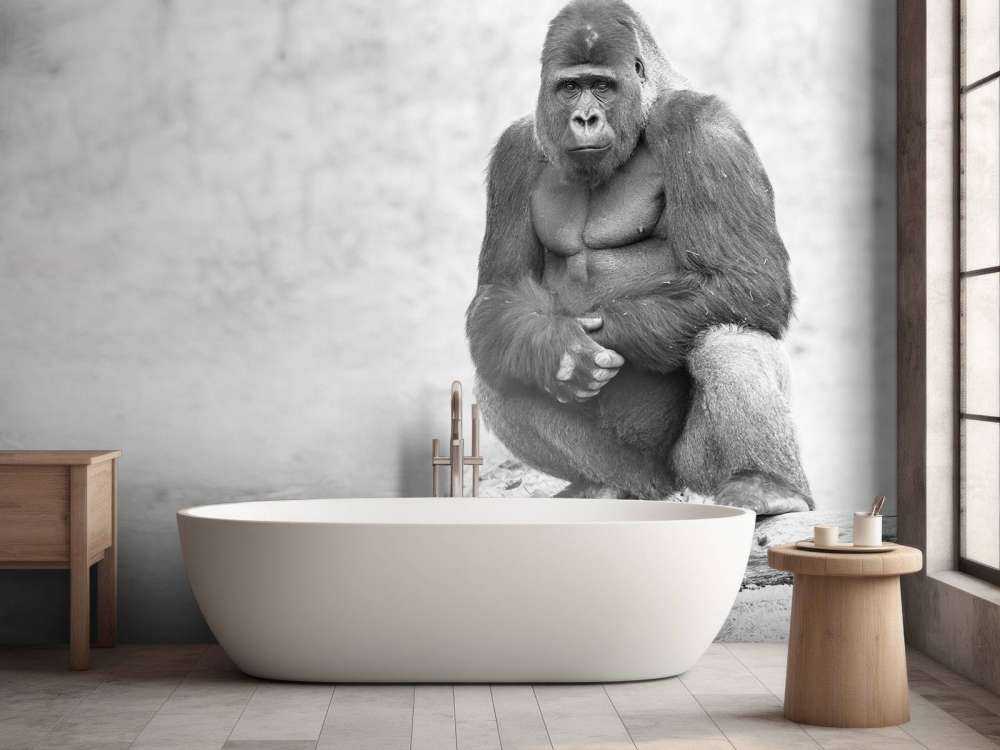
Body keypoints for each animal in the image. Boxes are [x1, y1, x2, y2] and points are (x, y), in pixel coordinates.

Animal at [466, 0, 811, 514]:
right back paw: (596, 485)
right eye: (570, 87)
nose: (585, 118)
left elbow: (748, 280)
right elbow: (499, 294)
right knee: (500, 358)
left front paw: (597, 337)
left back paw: (766, 483)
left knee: (729, 337)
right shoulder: (517, 148)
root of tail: (662, 488)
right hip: (632, 472)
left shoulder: (703, 127)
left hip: (693, 472)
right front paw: (554, 344)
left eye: (602, 87)